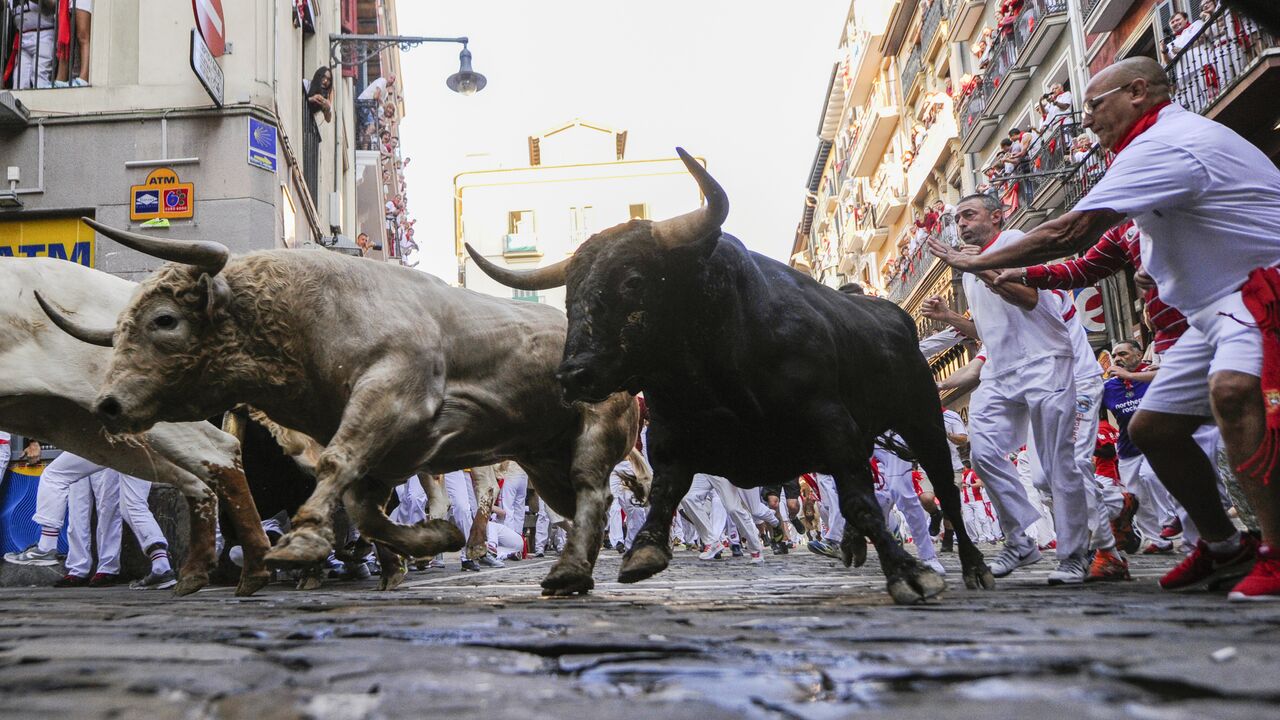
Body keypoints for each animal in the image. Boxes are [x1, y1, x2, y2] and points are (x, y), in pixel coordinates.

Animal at [465, 147, 993, 599]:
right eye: (570, 293)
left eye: (633, 281)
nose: (573, 374)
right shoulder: (671, 434)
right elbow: (666, 491)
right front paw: (645, 550)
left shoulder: (832, 424)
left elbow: (863, 501)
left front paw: (908, 574)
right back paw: (849, 548)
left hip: (921, 418)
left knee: (943, 490)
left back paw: (972, 566)